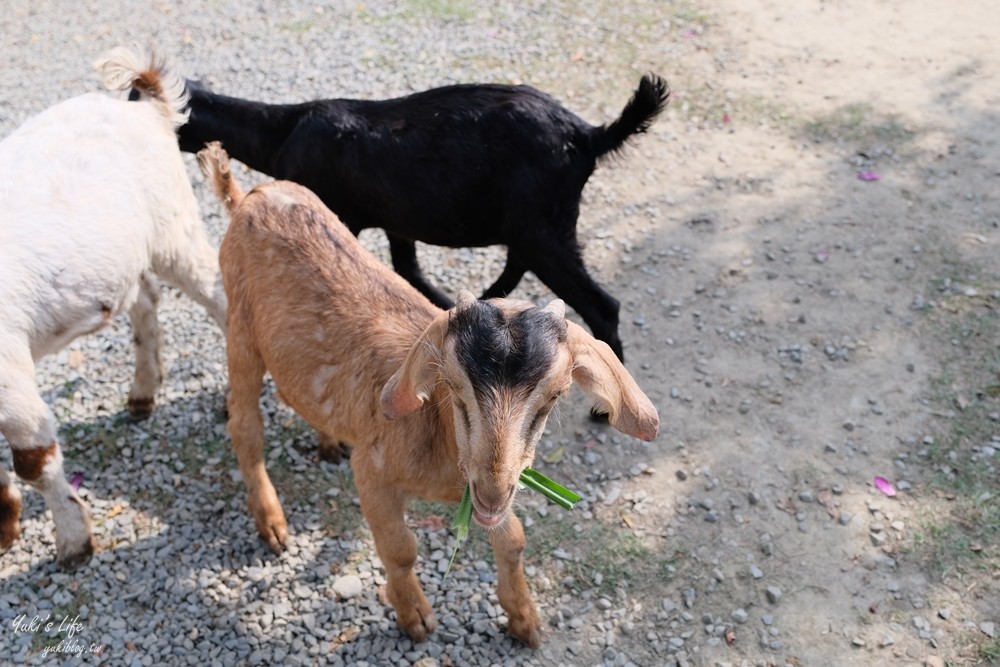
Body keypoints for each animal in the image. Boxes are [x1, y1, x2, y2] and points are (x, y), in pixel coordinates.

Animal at [0, 48, 226, 568]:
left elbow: (33, 461)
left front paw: (74, 543)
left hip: (173, 228)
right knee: (143, 299)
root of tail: (145, 107)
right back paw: (143, 392)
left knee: (217, 291)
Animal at [176, 73, 668, 360]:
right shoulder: (396, 221)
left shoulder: (338, 214)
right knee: (518, 265)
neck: (283, 132)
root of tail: (587, 136)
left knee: (603, 306)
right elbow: (407, 268)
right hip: (534, 224)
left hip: (544, 229)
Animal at [198, 142, 660, 648]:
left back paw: (328, 441)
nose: (491, 492)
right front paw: (414, 617)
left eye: (556, 395)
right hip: (240, 332)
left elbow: (513, 540)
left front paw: (525, 620)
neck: (439, 437)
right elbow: (401, 549)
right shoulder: (373, 471)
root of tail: (245, 196)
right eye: (454, 386)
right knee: (244, 425)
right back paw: (271, 523)